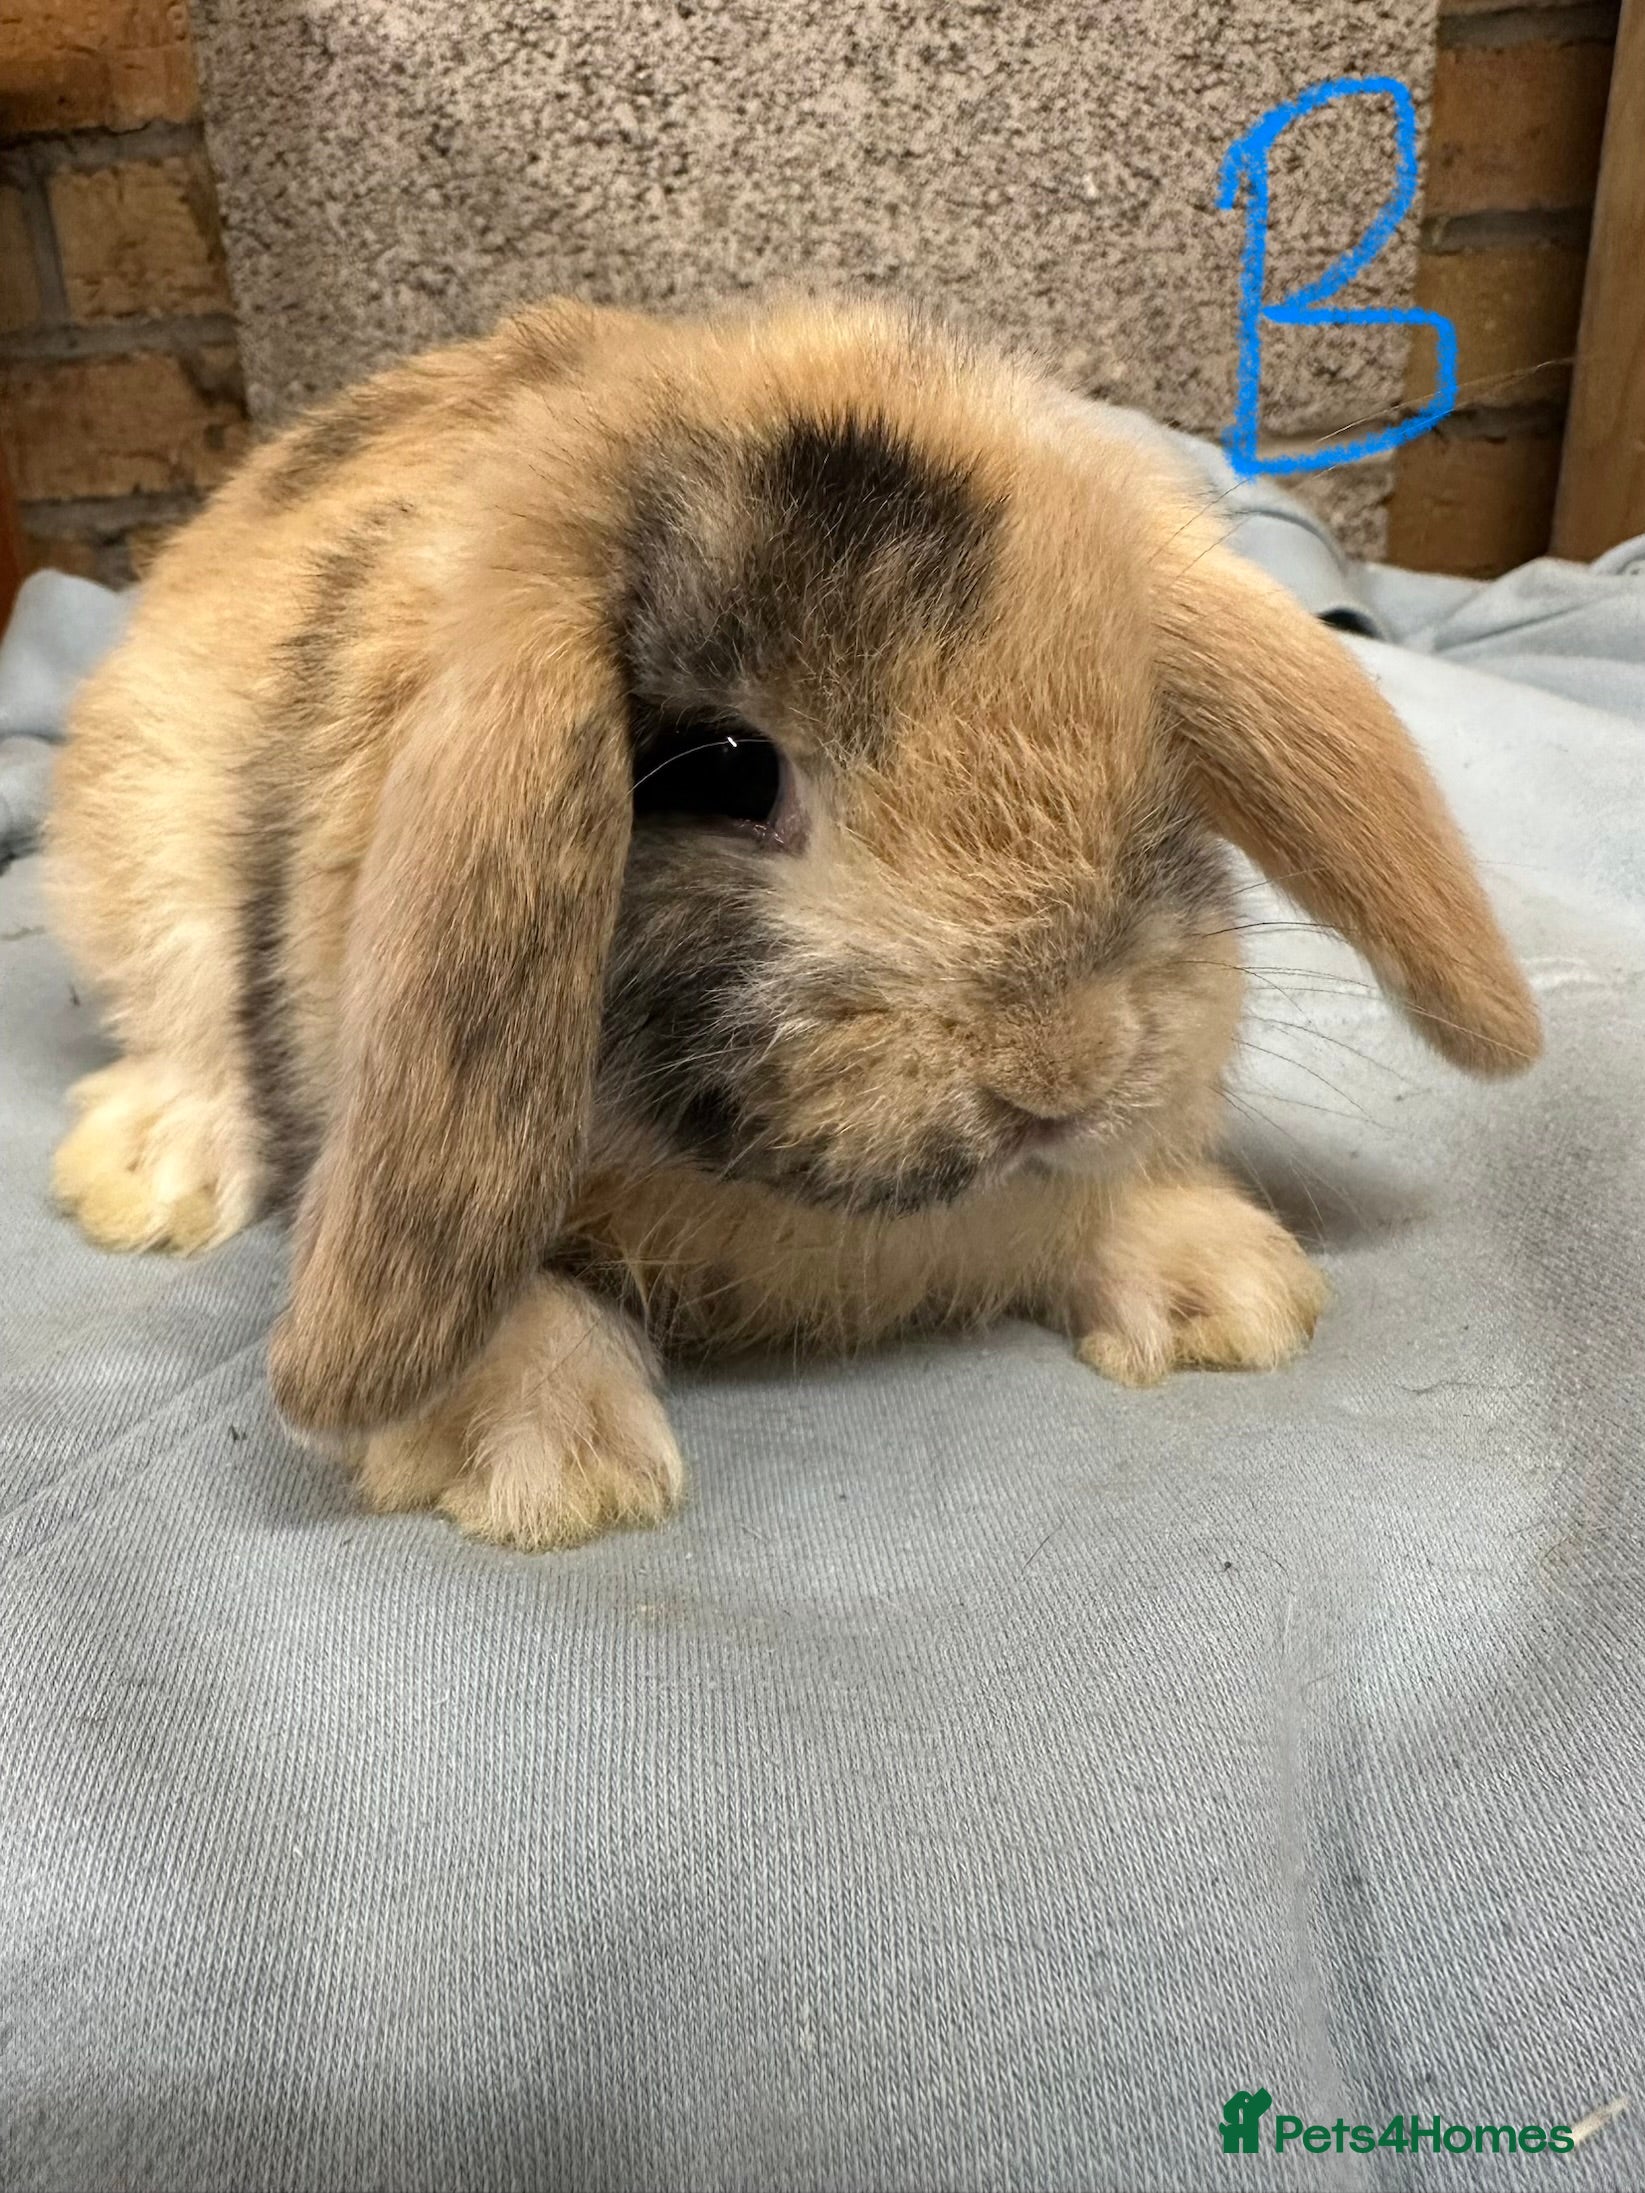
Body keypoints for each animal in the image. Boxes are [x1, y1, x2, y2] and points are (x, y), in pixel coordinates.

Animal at [45, 294, 1541, 1550]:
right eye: (724, 770)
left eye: (1151, 735)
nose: (1064, 1067)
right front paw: (539, 1464)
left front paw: (1224, 1297)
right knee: (187, 1030)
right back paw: (147, 1182)